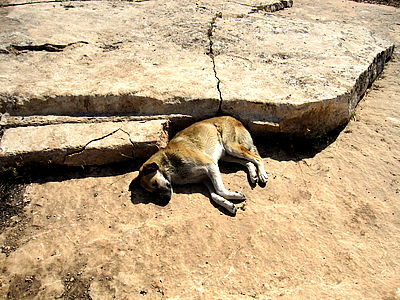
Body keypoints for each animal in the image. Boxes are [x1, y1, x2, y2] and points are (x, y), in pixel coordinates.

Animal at [131, 116, 268, 214]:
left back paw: (262, 174)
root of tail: (235, 119)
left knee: (257, 158)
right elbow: (214, 195)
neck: (169, 163)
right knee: (248, 161)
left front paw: (233, 197)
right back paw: (253, 175)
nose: (165, 201)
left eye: (155, 183)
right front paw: (229, 204)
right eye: (152, 193)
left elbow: (219, 189)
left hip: (231, 147)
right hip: (227, 155)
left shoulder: (211, 165)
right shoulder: (205, 179)